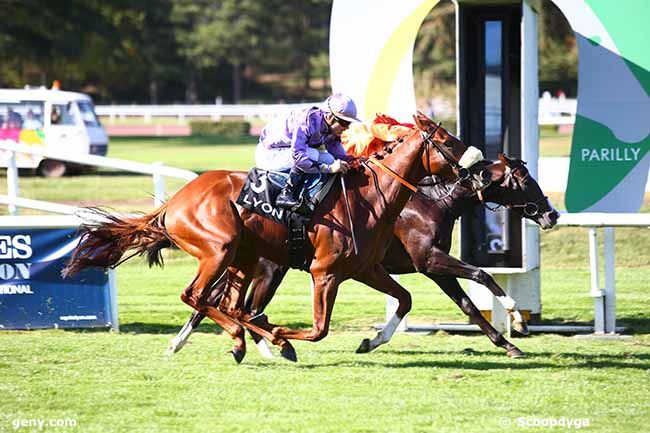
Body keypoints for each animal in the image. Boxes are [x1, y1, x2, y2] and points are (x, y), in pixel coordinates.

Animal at [63, 111, 476, 358]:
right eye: (448, 141)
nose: (480, 164)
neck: (370, 198)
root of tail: (175, 202)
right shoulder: (324, 273)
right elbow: (318, 329)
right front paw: (281, 336)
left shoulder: (364, 268)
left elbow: (404, 299)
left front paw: (369, 340)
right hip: (220, 249)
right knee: (198, 296)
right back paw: (249, 338)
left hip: (243, 258)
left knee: (230, 304)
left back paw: (243, 340)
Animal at [167, 154, 556, 360]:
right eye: (524, 179)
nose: (551, 214)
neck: (432, 201)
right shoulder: (429, 260)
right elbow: (481, 275)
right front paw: (516, 319)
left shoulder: (431, 267)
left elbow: (467, 306)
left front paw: (507, 343)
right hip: (268, 269)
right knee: (235, 304)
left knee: (226, 303)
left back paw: (193, 341)